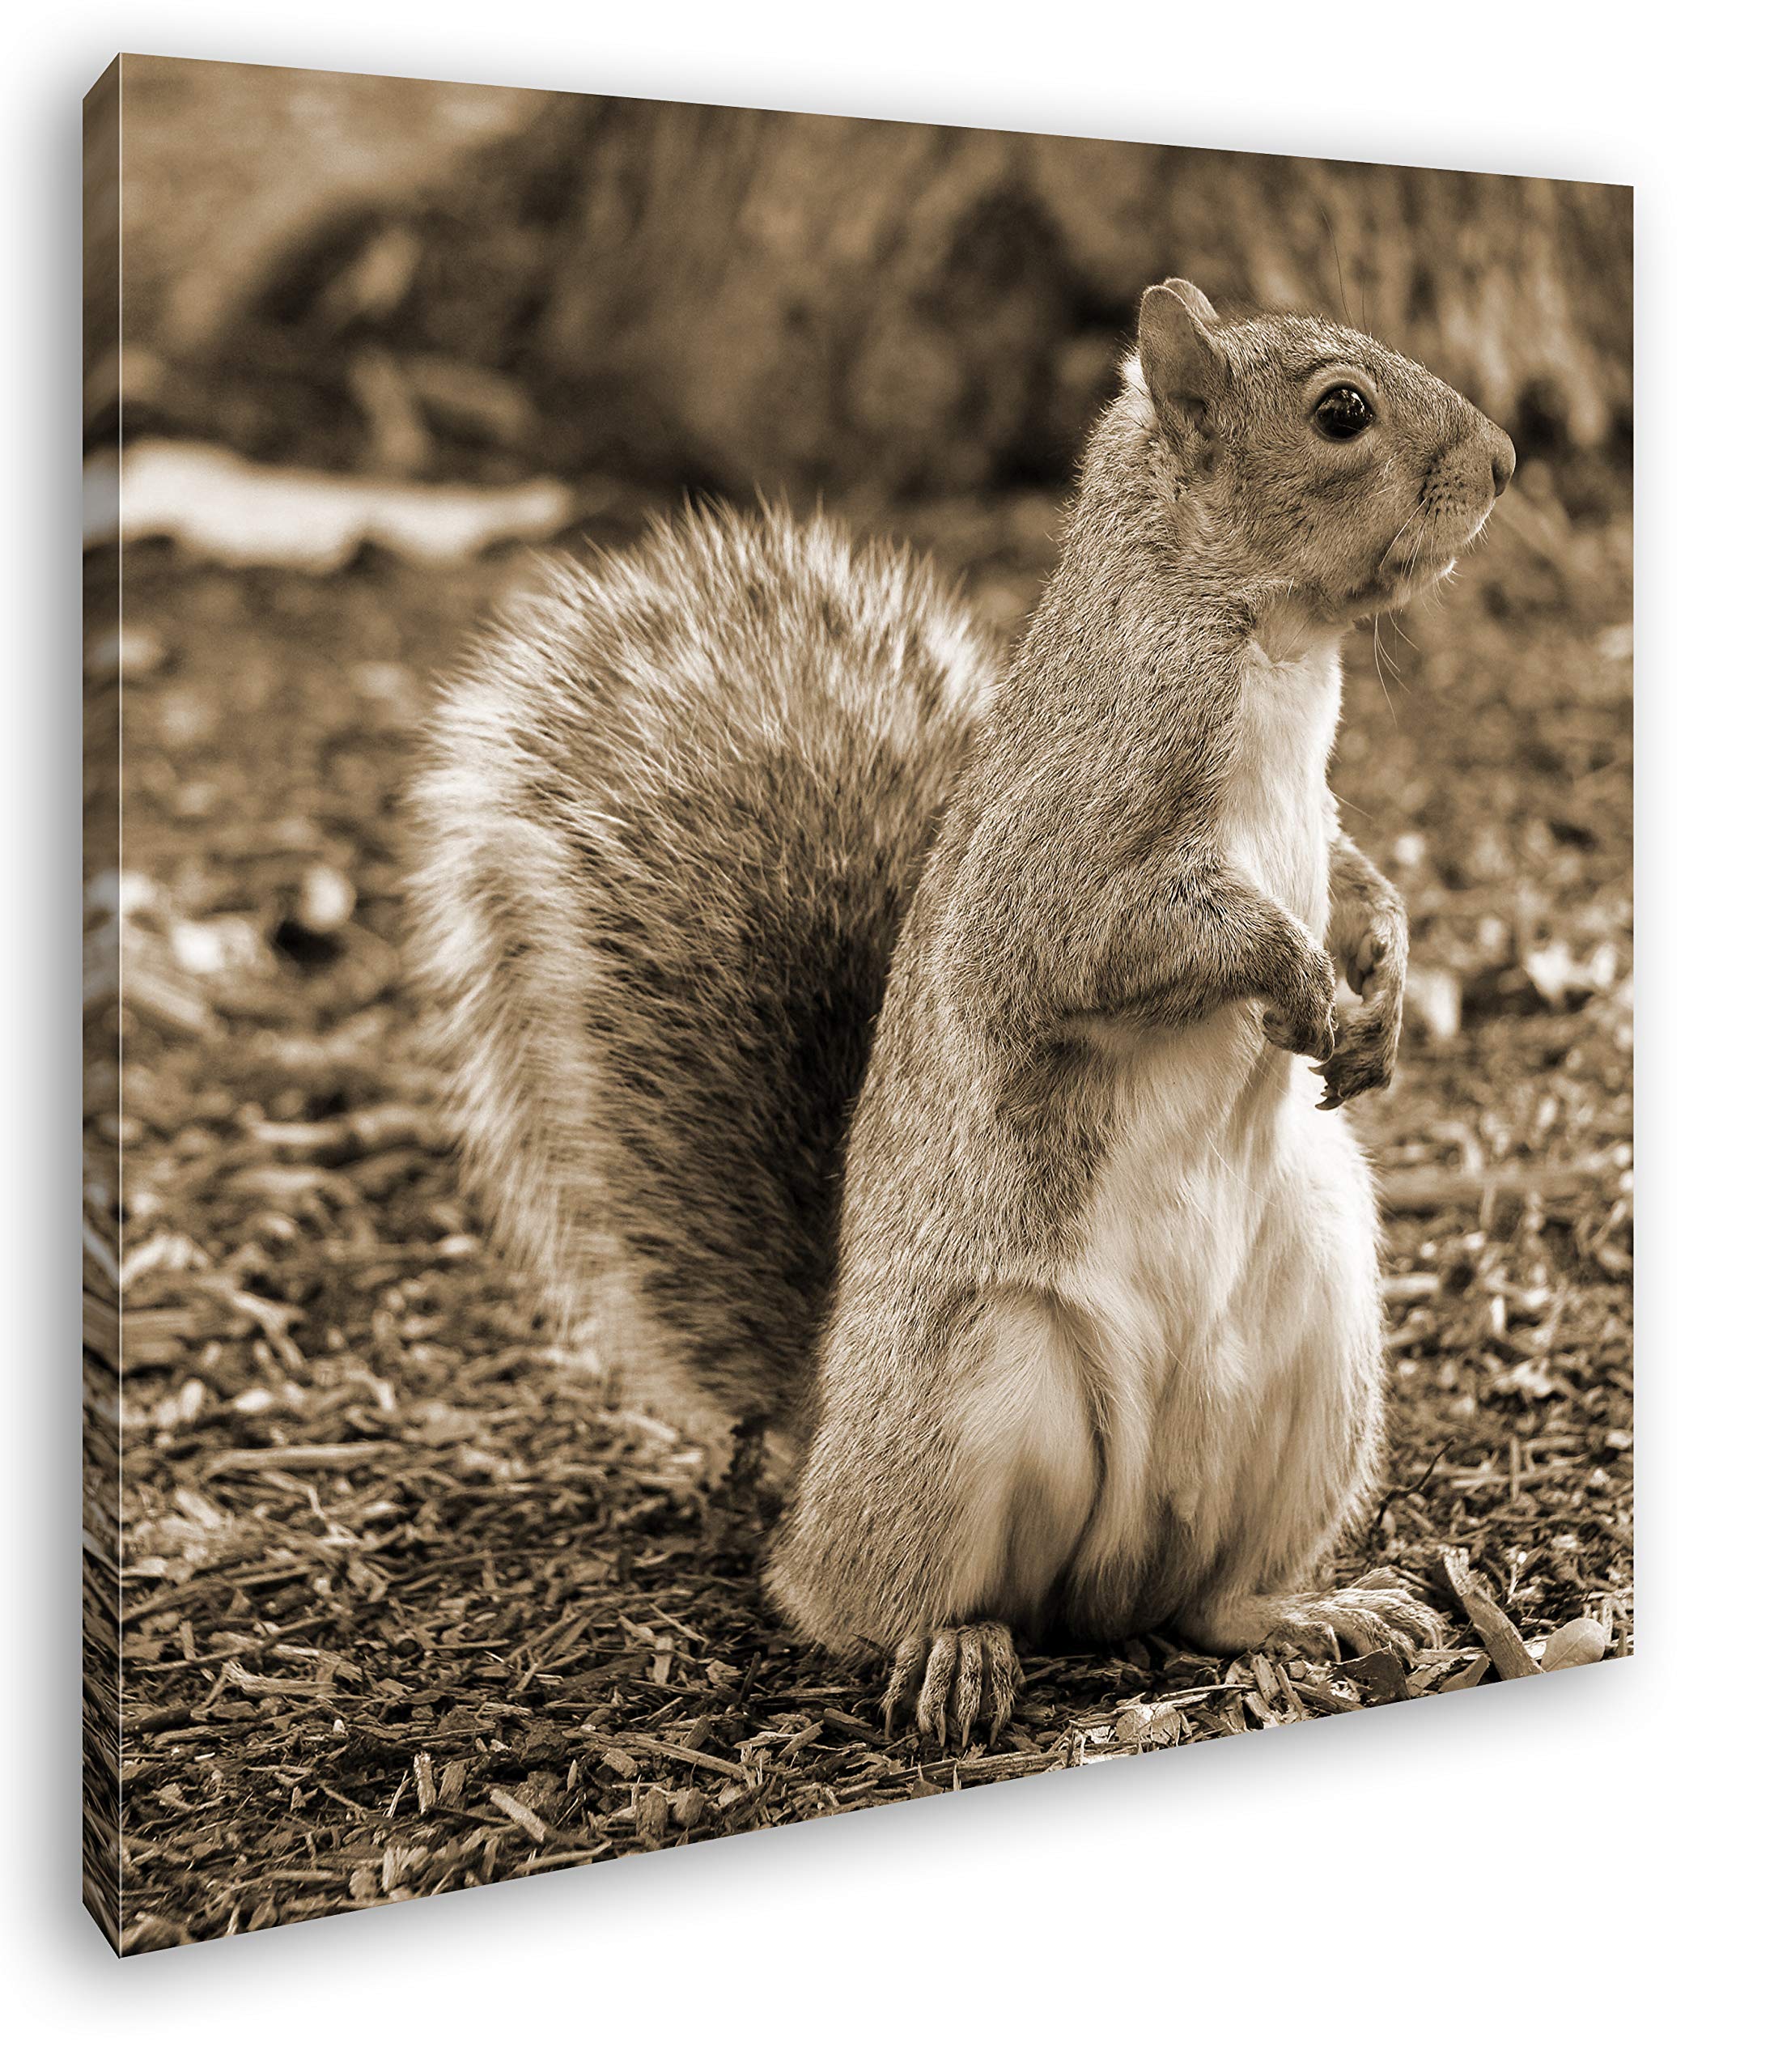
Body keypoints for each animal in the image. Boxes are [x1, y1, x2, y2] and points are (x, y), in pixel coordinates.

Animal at [410, 279, 1515, 1746]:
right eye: (1341, 413)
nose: (1505, 462)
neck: (1270, 648)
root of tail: (824, 1432)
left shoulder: (1315, 818)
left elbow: (1352, 871)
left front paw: (1381, 972)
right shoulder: (1069, 851)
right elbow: (1117, 942)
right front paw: (1297, 979)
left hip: (1320, 1354)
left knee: (1203, 1603)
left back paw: (1305, 1610)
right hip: (973, 1393)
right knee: (868, 1598)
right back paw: (952, 1651)